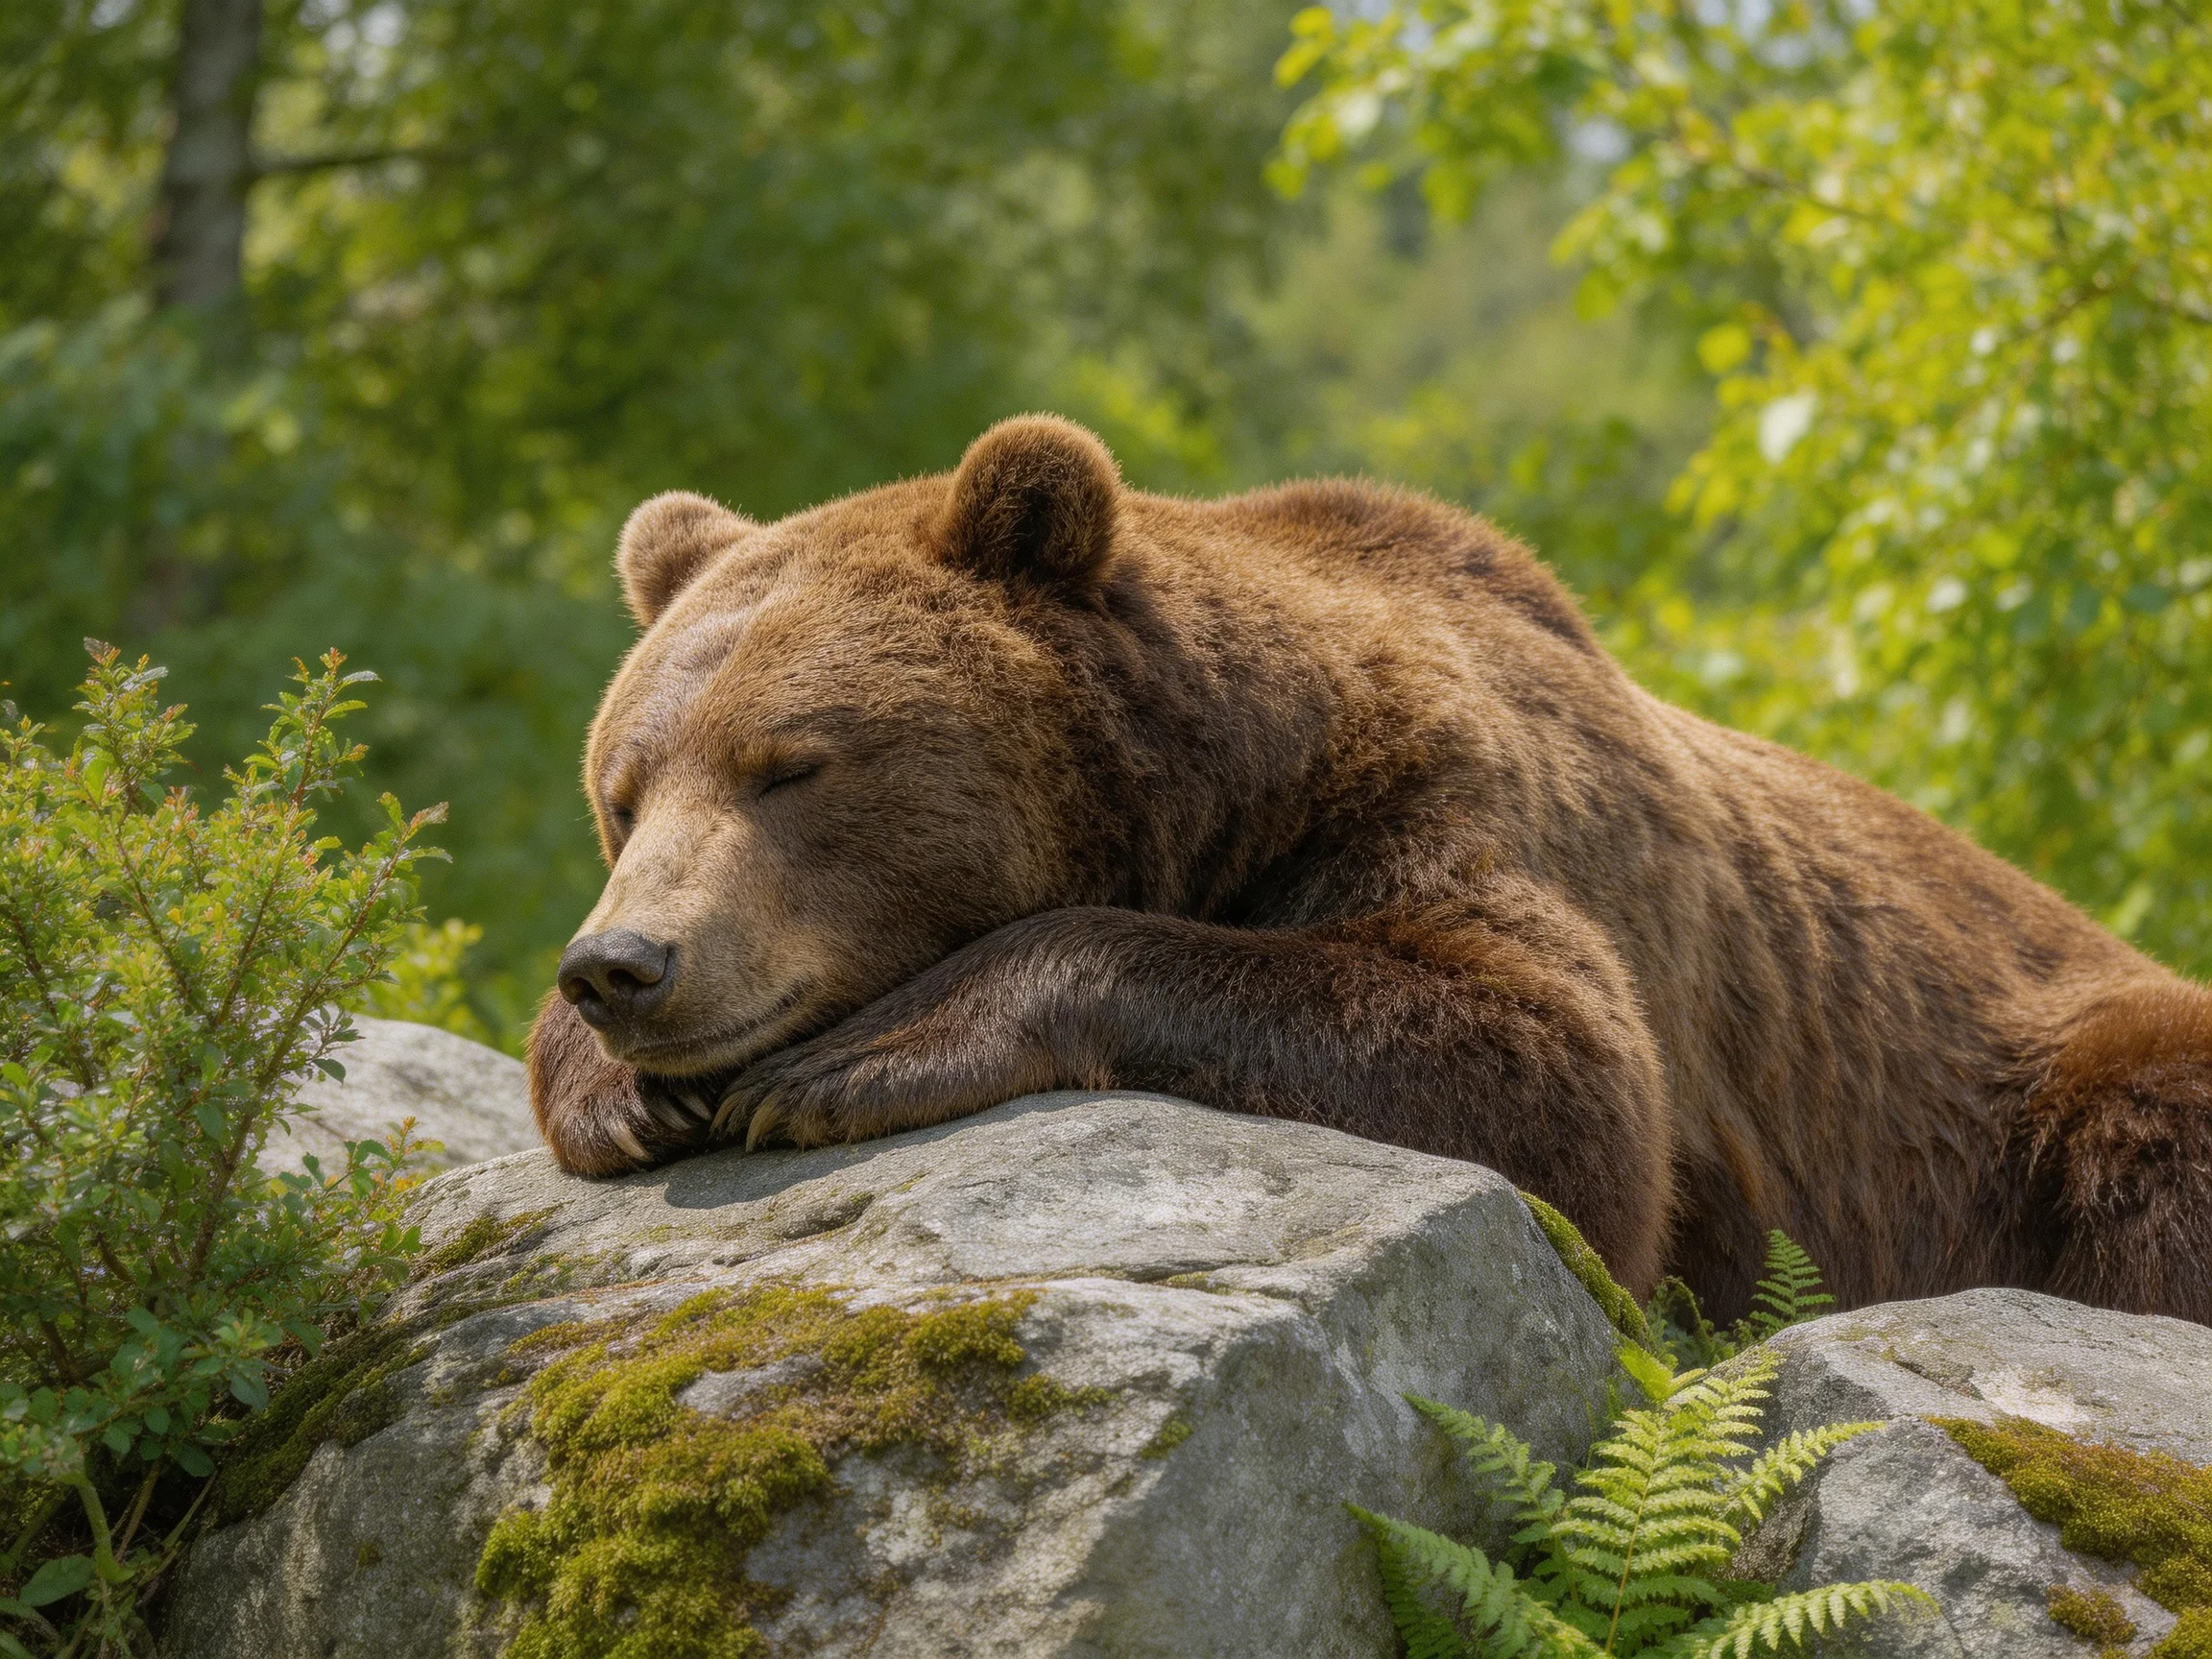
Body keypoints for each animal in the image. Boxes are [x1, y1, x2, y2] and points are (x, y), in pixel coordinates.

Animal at [529, 414, 2212, 1324]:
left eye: (789, 766)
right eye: (623, 792)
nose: (627, 966)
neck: (1237, 781)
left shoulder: (1457, 809)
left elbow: (1559, 1071)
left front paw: (860, 1055)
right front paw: (610, 1091)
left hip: (2043, 1082)